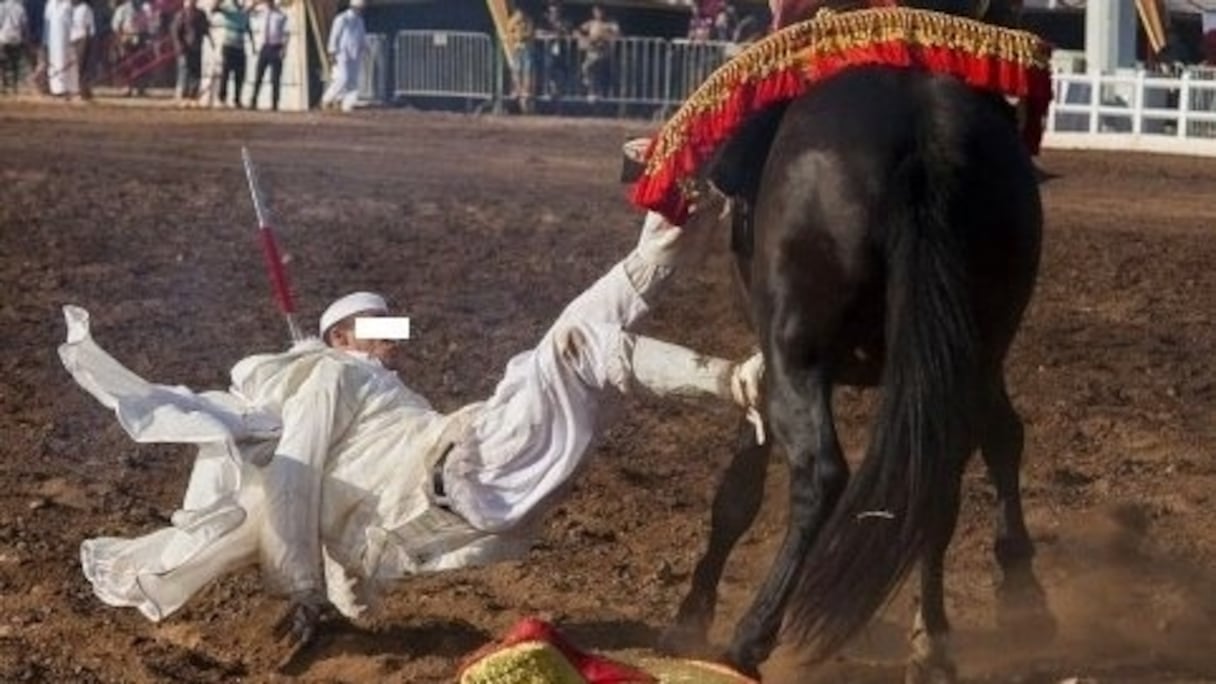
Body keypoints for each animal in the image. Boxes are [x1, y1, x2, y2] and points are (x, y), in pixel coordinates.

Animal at [661, 2, 1050, 676]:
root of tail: (924, 132)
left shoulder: (771, 357)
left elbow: (740, 483)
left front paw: (693, 611)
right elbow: (1003, 437)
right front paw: (1020, 590)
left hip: (798, 351)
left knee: (821, 476)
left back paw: (752, 637)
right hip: (973, 348)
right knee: (941, 474)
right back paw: (938, 638)